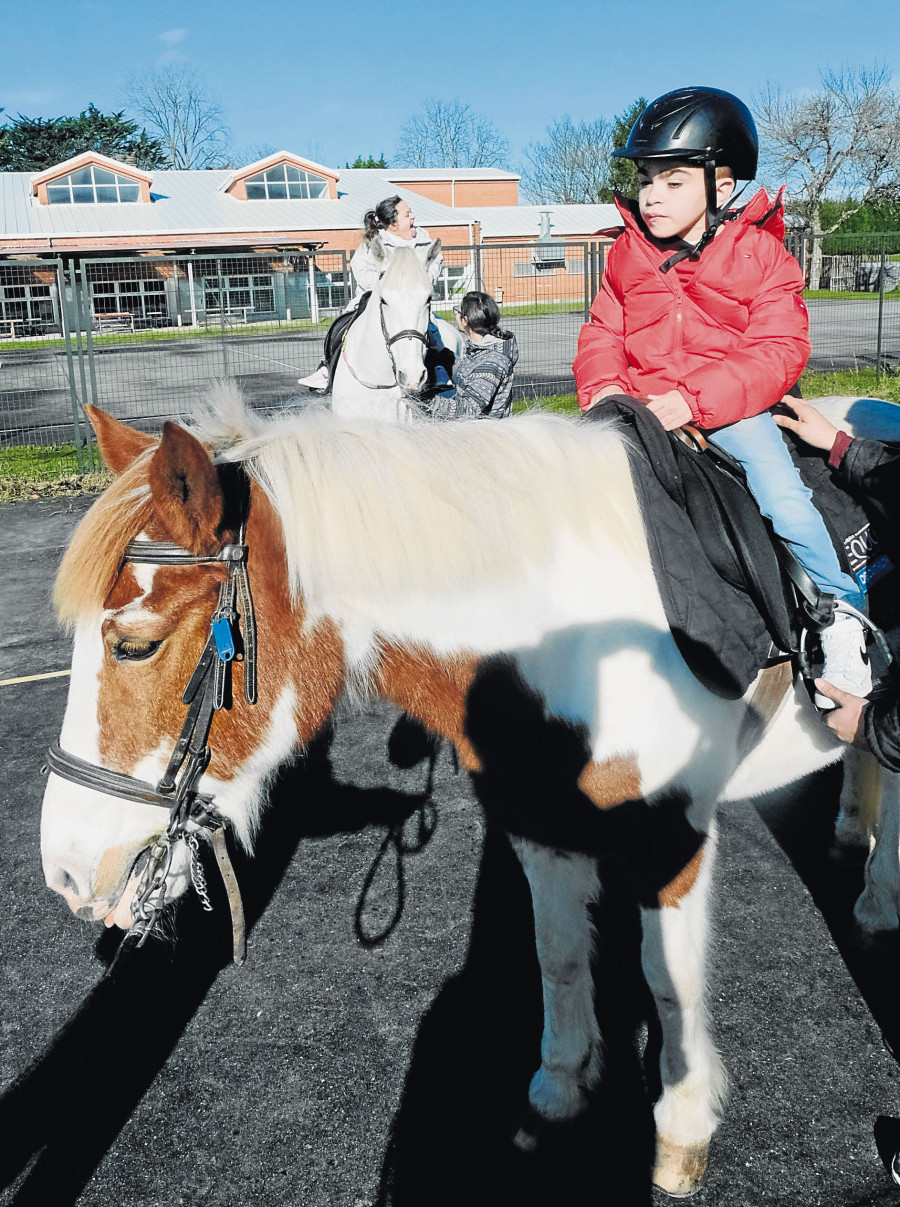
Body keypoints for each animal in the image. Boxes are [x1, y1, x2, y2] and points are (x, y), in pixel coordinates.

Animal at [38, 388, 897, 1197]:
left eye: (135, 645)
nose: (68, 871)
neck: (568, 637)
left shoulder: (669, 838)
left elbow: (671, 984)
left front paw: (683, 1129)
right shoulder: (538, 820)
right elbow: (558, 954)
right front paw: (560, 1083)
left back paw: (875, 898)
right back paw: (857, 845)